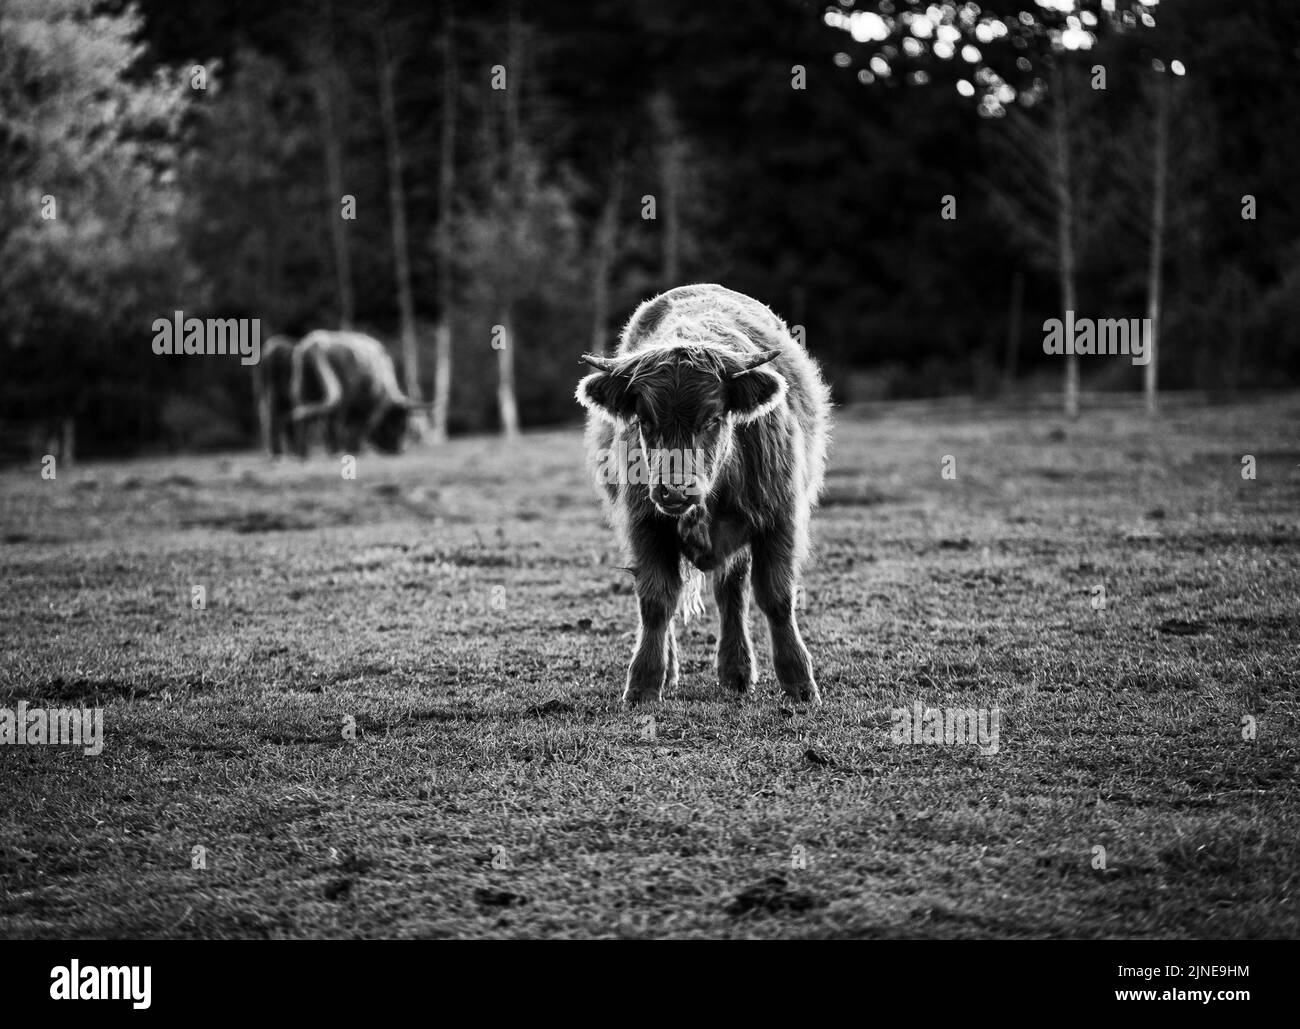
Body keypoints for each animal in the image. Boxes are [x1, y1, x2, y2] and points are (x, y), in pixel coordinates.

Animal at [576, 283, 832, 705]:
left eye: (712, 418)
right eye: (645, 420)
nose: (674, 487)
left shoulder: (779, 517)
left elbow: (776, 597)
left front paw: (799, 683)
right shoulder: (644, 525)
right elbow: (656, 601)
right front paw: (644, 683)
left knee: (732, 593)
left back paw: (736, 672)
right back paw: (673, 673)